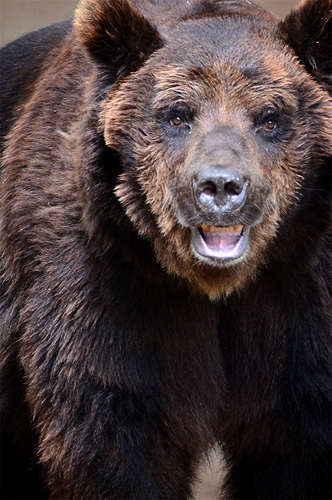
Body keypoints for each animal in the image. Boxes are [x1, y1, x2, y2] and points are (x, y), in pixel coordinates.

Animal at [0, 0, 330, 498]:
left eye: (271, 117)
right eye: (177, 114)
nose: (220, 186)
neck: (215, 286)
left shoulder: (300, 287)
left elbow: (299, 440)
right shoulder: (108, 283)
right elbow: (116, 431)